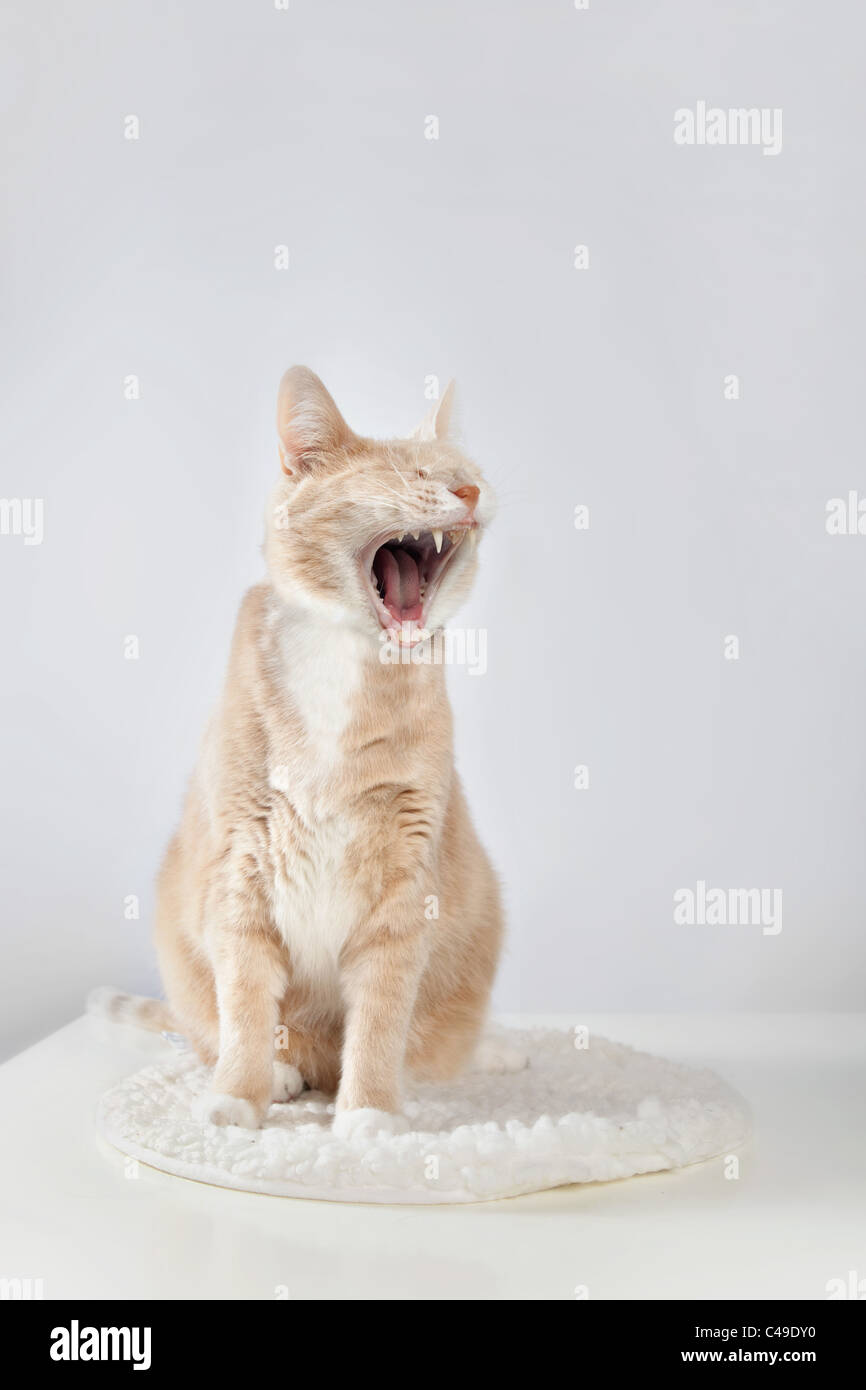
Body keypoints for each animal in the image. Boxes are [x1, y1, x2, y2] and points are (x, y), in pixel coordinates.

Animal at [107, 372, 517, 1139]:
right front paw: (238, 1096)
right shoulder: (241, 866)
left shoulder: (406, 883)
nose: (471, 494)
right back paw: (285, 1072)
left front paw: (370, 1111)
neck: (341, 661)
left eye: (466, 474)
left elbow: (381, 1017)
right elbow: (244, 1009)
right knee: (225, 1032)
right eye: (411, 476)